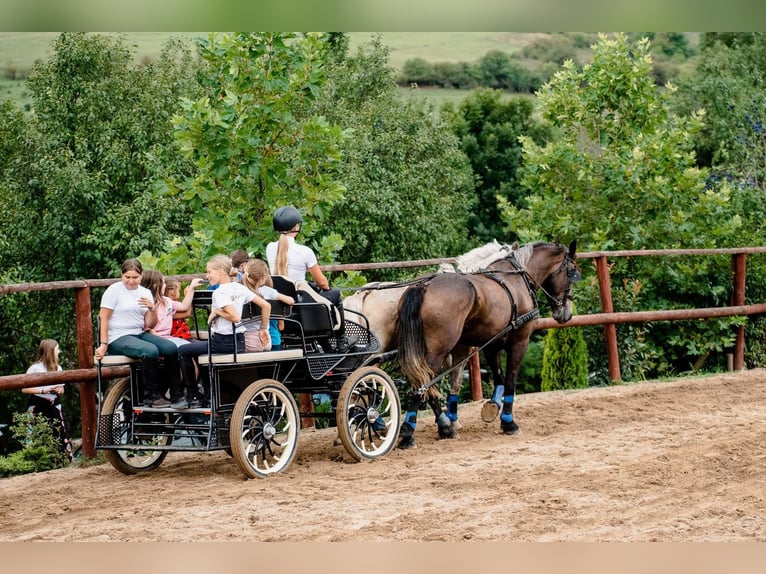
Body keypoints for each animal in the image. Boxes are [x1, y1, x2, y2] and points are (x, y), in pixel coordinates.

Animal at [395, 240, 580, 449]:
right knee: (423, 383)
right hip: (438, 351)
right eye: (572, 272)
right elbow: (510, 381)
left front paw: (492, 408)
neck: (516, 277)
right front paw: (509, 422)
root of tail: (424, 286)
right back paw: (410, 433)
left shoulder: (491, 344)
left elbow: (498, 378)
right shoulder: (520, 341)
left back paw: (443, 428)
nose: (566, 314)